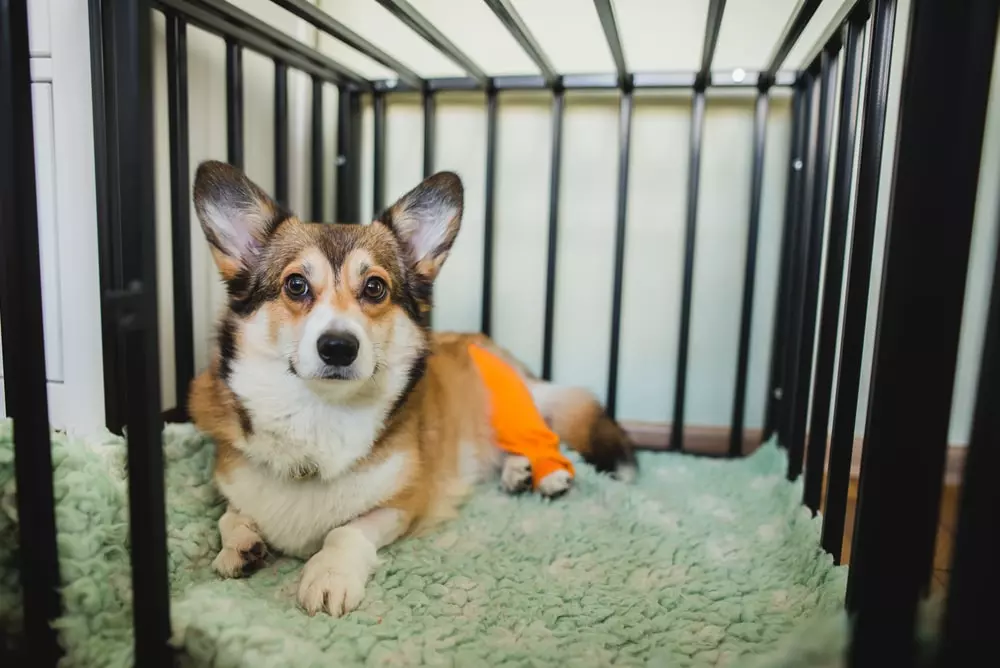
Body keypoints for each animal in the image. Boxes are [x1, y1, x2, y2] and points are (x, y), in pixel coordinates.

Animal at [188, 162, 636, 616]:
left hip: (512, 410)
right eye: (295, 284)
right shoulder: (233, 481)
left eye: (374, 287)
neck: (319, 415)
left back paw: (546, 475)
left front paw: (329, 576)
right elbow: (230, 516)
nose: (338, 347)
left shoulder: (403, 503)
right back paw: (516, 473)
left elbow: (344, 532)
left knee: (540, 439)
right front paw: (239, 547)